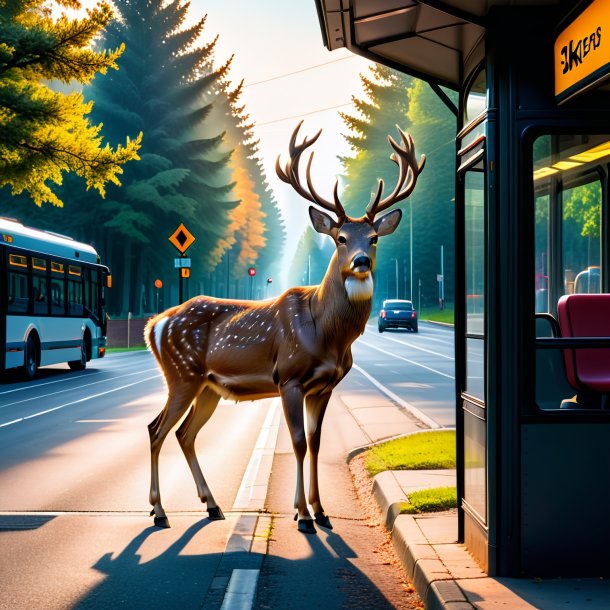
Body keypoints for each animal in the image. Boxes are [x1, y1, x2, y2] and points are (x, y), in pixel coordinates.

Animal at [145, 121, 426, 528]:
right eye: (341, 238)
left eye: (373, 238)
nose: (360, 262)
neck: (328, 335)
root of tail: (155, 324)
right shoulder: (289, 377)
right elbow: (296, 442)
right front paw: (303, 515)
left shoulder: (324, 386)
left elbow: (316, 441)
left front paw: (321, 510)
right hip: (181, 374)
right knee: (156, 429)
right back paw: (159, 512)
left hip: (209, 386)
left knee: (184, 433)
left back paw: (212, 505)